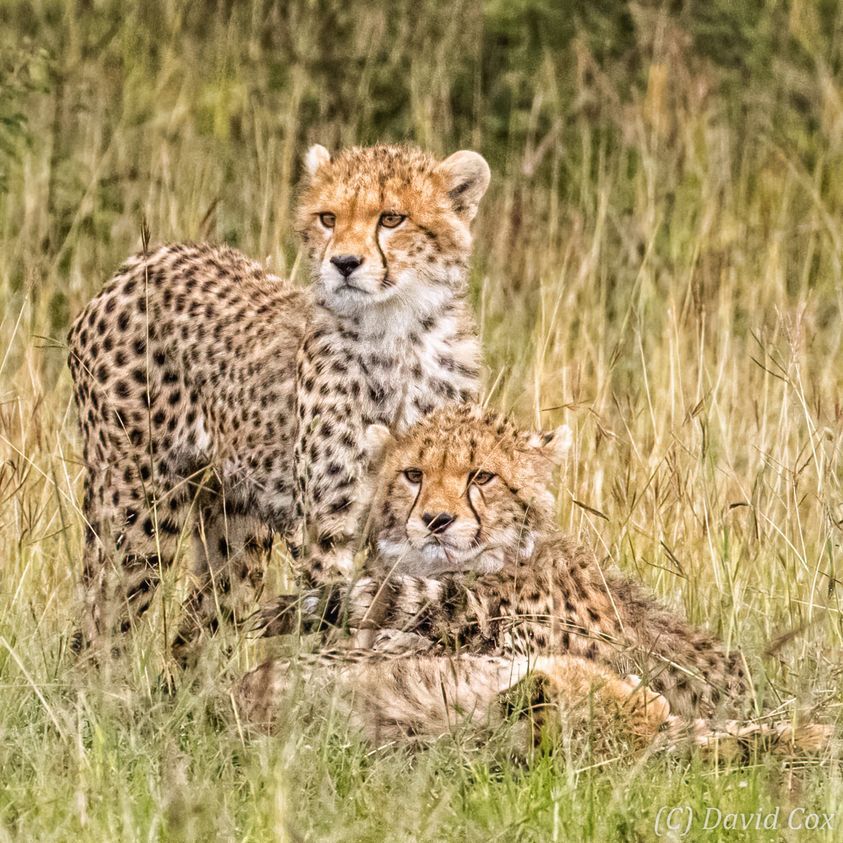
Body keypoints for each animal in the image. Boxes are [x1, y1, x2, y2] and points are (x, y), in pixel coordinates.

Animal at [69, 143, 492, 664]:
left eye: (392, 218)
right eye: (328, 218)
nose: (344, 263)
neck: (399, 333)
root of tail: (142, 261)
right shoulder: (328, 528)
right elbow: (341, 619)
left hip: (236, 528)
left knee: (195, 632)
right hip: (139, 503)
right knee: (102, 622)